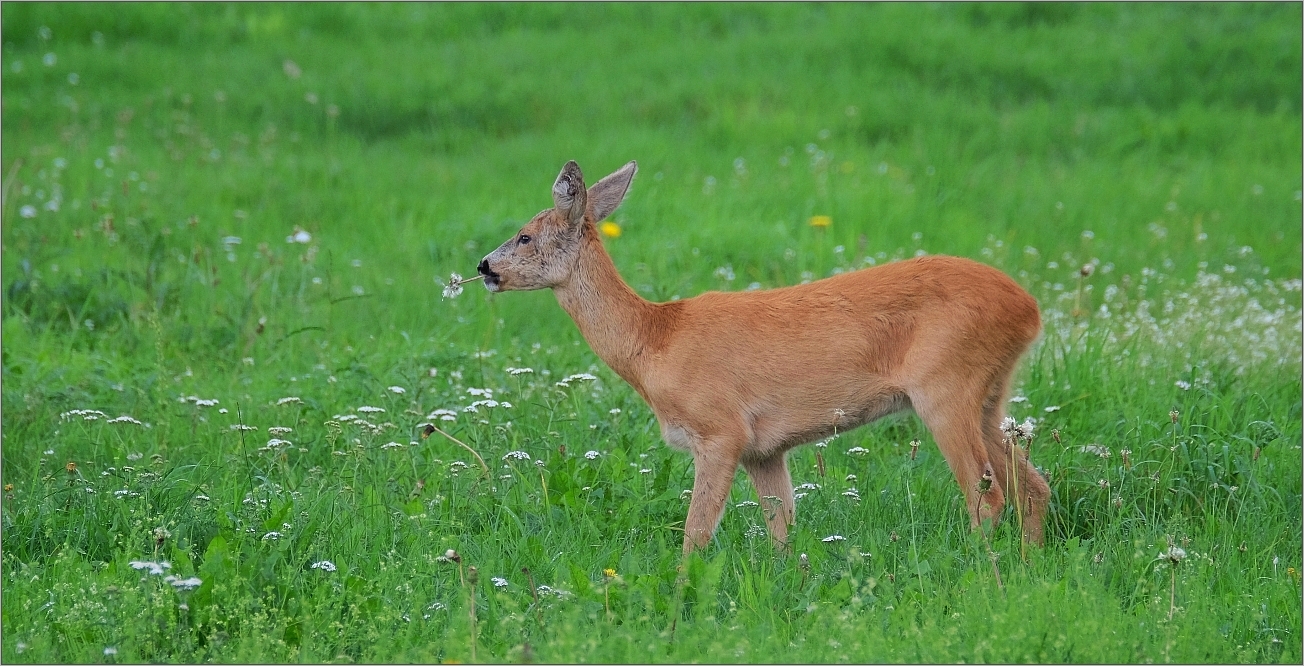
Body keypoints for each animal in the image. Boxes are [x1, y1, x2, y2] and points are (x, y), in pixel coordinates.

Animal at [479, 160, 1048, 552]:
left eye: (524, 235)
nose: (484, 266)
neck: (655, 343)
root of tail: (1030, 309)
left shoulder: (720, 429)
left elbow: (696, 533)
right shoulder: (764, 448)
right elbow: (781, 528)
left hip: (944, 385)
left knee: (987, 495)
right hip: (990, 396)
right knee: (1033, 486)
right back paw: (1028, 564)